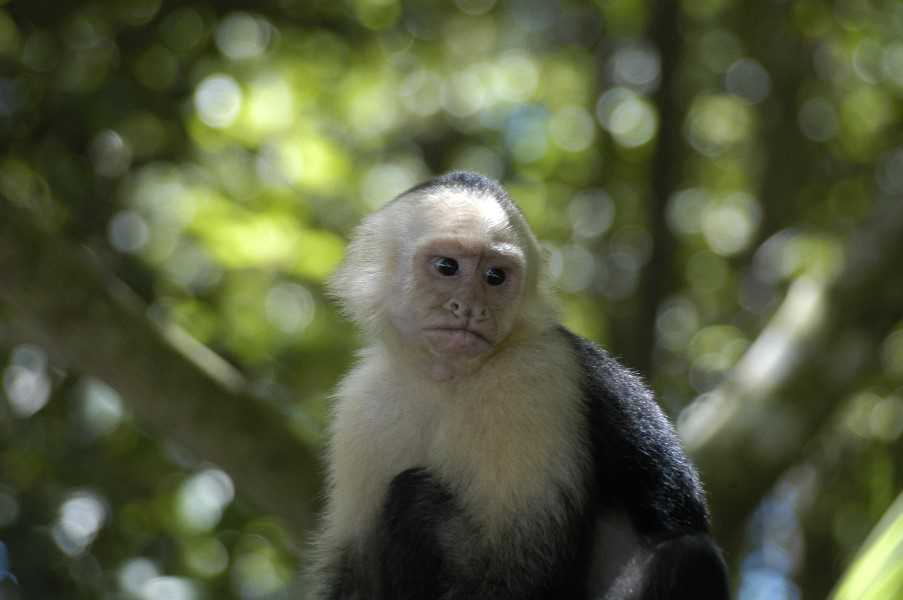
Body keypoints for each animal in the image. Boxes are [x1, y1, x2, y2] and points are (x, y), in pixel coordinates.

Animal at [308, 171, 728, 596]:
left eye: (496, 277)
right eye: (447, 267)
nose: (470, 308)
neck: (447, 378)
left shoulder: (530, 377)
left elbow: (526, 568)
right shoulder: (364, 401)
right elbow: (355, 573)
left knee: (685, 554)